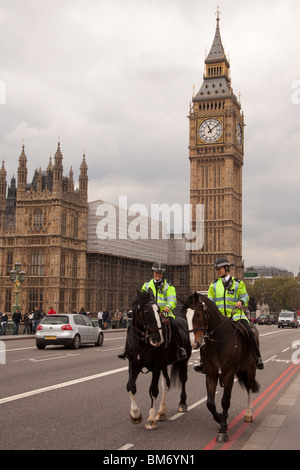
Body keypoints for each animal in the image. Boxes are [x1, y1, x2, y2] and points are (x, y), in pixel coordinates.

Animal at [182, 292, 258, 442]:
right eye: (185, 315)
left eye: (198, 314)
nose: (194, 343)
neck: (218, 342)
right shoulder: (211, 374)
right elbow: (210, 403)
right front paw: (221, 419)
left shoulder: (228, 374)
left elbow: (225, 400)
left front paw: (223, 429)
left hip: (251, 368)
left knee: (249, 389)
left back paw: (248, 414)